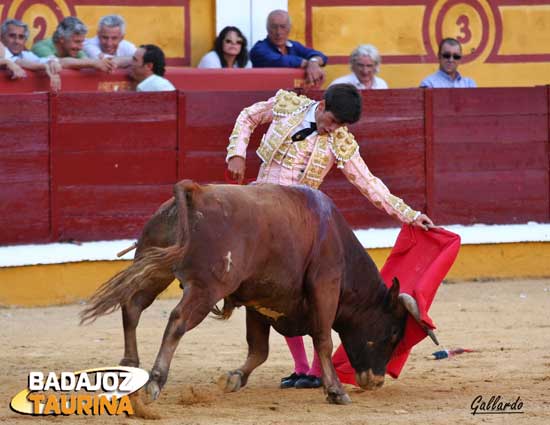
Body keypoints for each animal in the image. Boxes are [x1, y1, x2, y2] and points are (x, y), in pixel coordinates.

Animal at [81, 180, 436, 404]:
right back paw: (155, 380)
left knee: (132, 306)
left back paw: (129, 365)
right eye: (394, 333)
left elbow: (259, 349)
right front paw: (335, 391)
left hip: (155, 266)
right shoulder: (325, 286)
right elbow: (322, 338)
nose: (376, 381)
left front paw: (234, 378)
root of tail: (196, 191)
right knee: (177, 320)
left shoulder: (259, 303)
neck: (335, 239)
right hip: (206, 287)